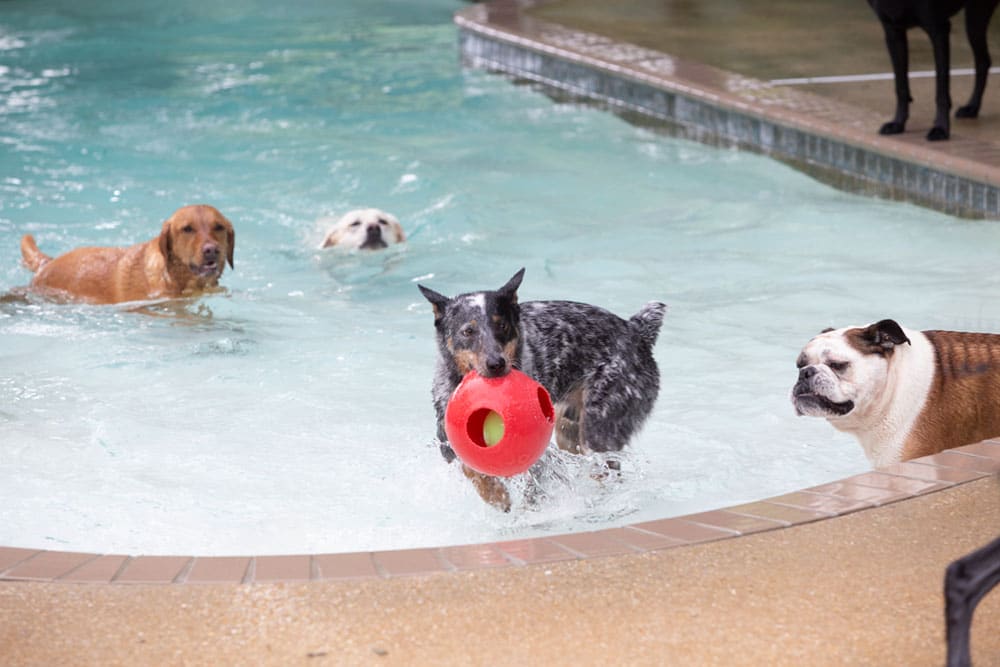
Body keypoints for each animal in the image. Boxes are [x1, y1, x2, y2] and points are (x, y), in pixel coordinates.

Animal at [414, 268, 664, 516]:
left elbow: (533, 486)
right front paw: (495, 494)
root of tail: (637, 331)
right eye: (468, 331)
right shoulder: (447, 445)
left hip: (600, 426)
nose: (496, 363)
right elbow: (471, 469)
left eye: (502, 326)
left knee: (606, 466)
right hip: (568, 430)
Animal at [868, 0, 1000, 139]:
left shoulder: (939, 30)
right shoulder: (893, 32)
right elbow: (901, 87)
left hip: (976, 15)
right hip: (975, 19)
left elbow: (941, 90)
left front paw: (941, 128)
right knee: (983, 62)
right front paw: (898, 123)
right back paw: (972, 108)